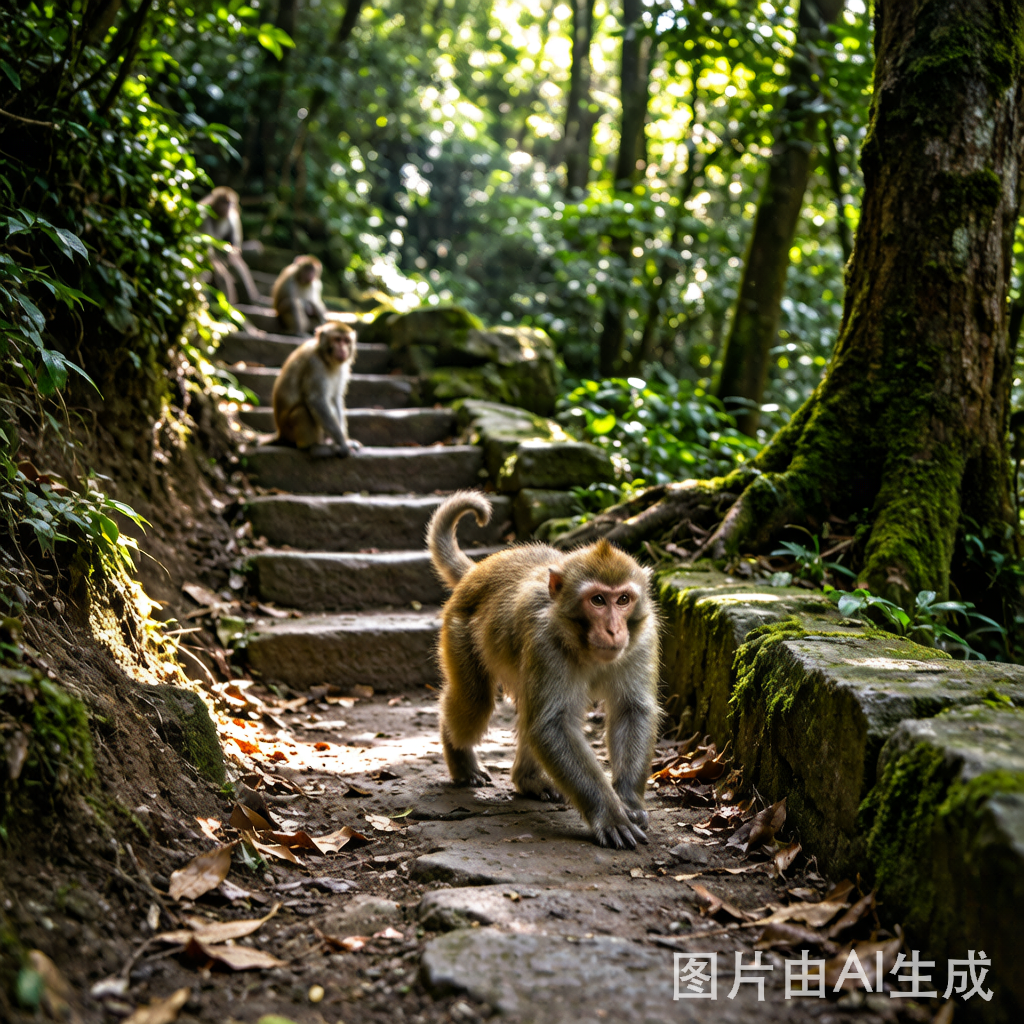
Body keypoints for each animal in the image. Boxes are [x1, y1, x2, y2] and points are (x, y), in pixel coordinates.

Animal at [270, 322, 361, 456]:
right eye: (337, 339)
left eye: (346, 341)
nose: (343, 348)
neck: (324, 356)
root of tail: (280, 433)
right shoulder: (314, 364)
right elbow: (316, 400)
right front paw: (342, 443)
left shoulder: (341, 368)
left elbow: (336, 398)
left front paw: (345, 440)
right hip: (289, 432)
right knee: (302, 411)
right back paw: (312, 446)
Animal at [427, 491, 660, 849]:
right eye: (597, 600)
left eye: (623, 599)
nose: (613, 630)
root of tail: (478, 570)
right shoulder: (545, 643)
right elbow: (552, 726)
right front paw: (610, 814)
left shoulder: (643, 638)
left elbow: (632, 710)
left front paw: (629, 802)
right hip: (458, 631)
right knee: (473, 703)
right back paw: (460, 758)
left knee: (526, 710)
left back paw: (528, 780)